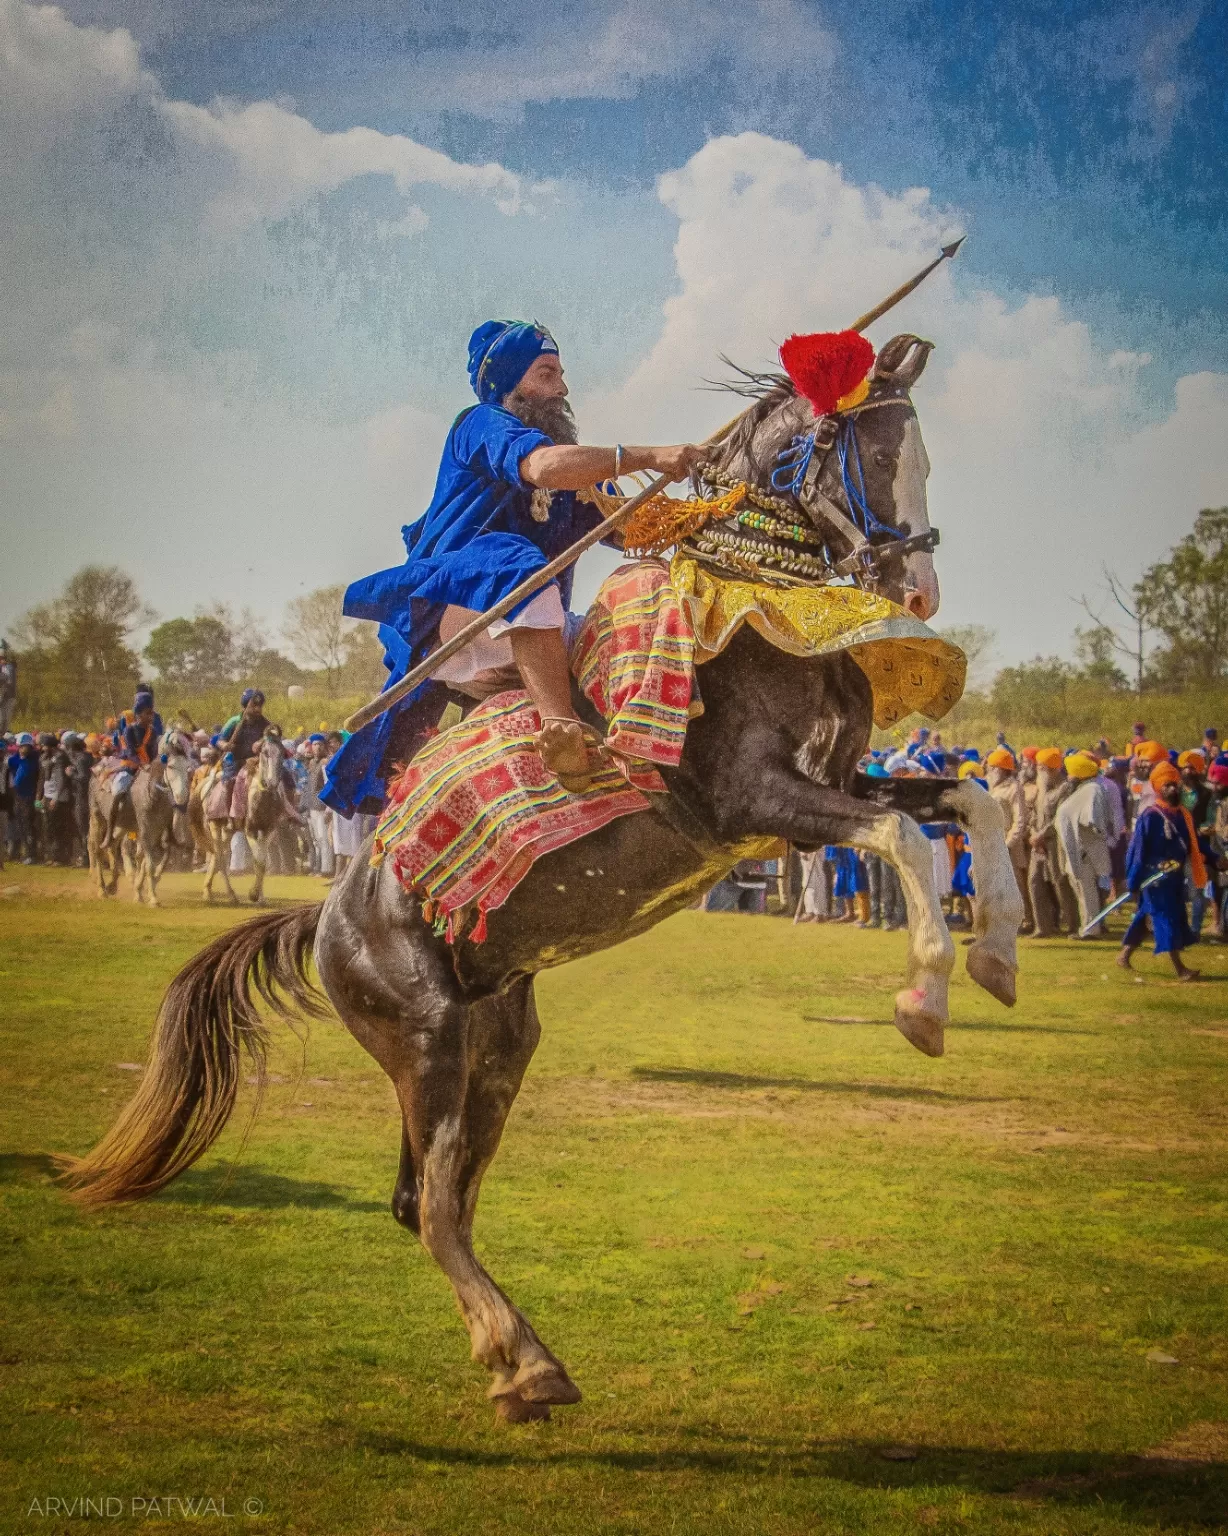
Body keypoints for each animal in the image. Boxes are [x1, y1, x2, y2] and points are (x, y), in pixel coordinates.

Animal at [62, 336, 1020, 1425]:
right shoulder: (753, 802)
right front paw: (922, 1003)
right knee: (435, 1208)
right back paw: (525, 1363)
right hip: (422, 1035)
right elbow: (906, 838)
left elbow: (969, 807)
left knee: (428, 1203)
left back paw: (517, 1361)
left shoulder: (830, 788)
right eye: (873, 449)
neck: (754, 611)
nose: (919, 590)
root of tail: (327, 920)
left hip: (497, 1042)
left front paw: (996, 959)